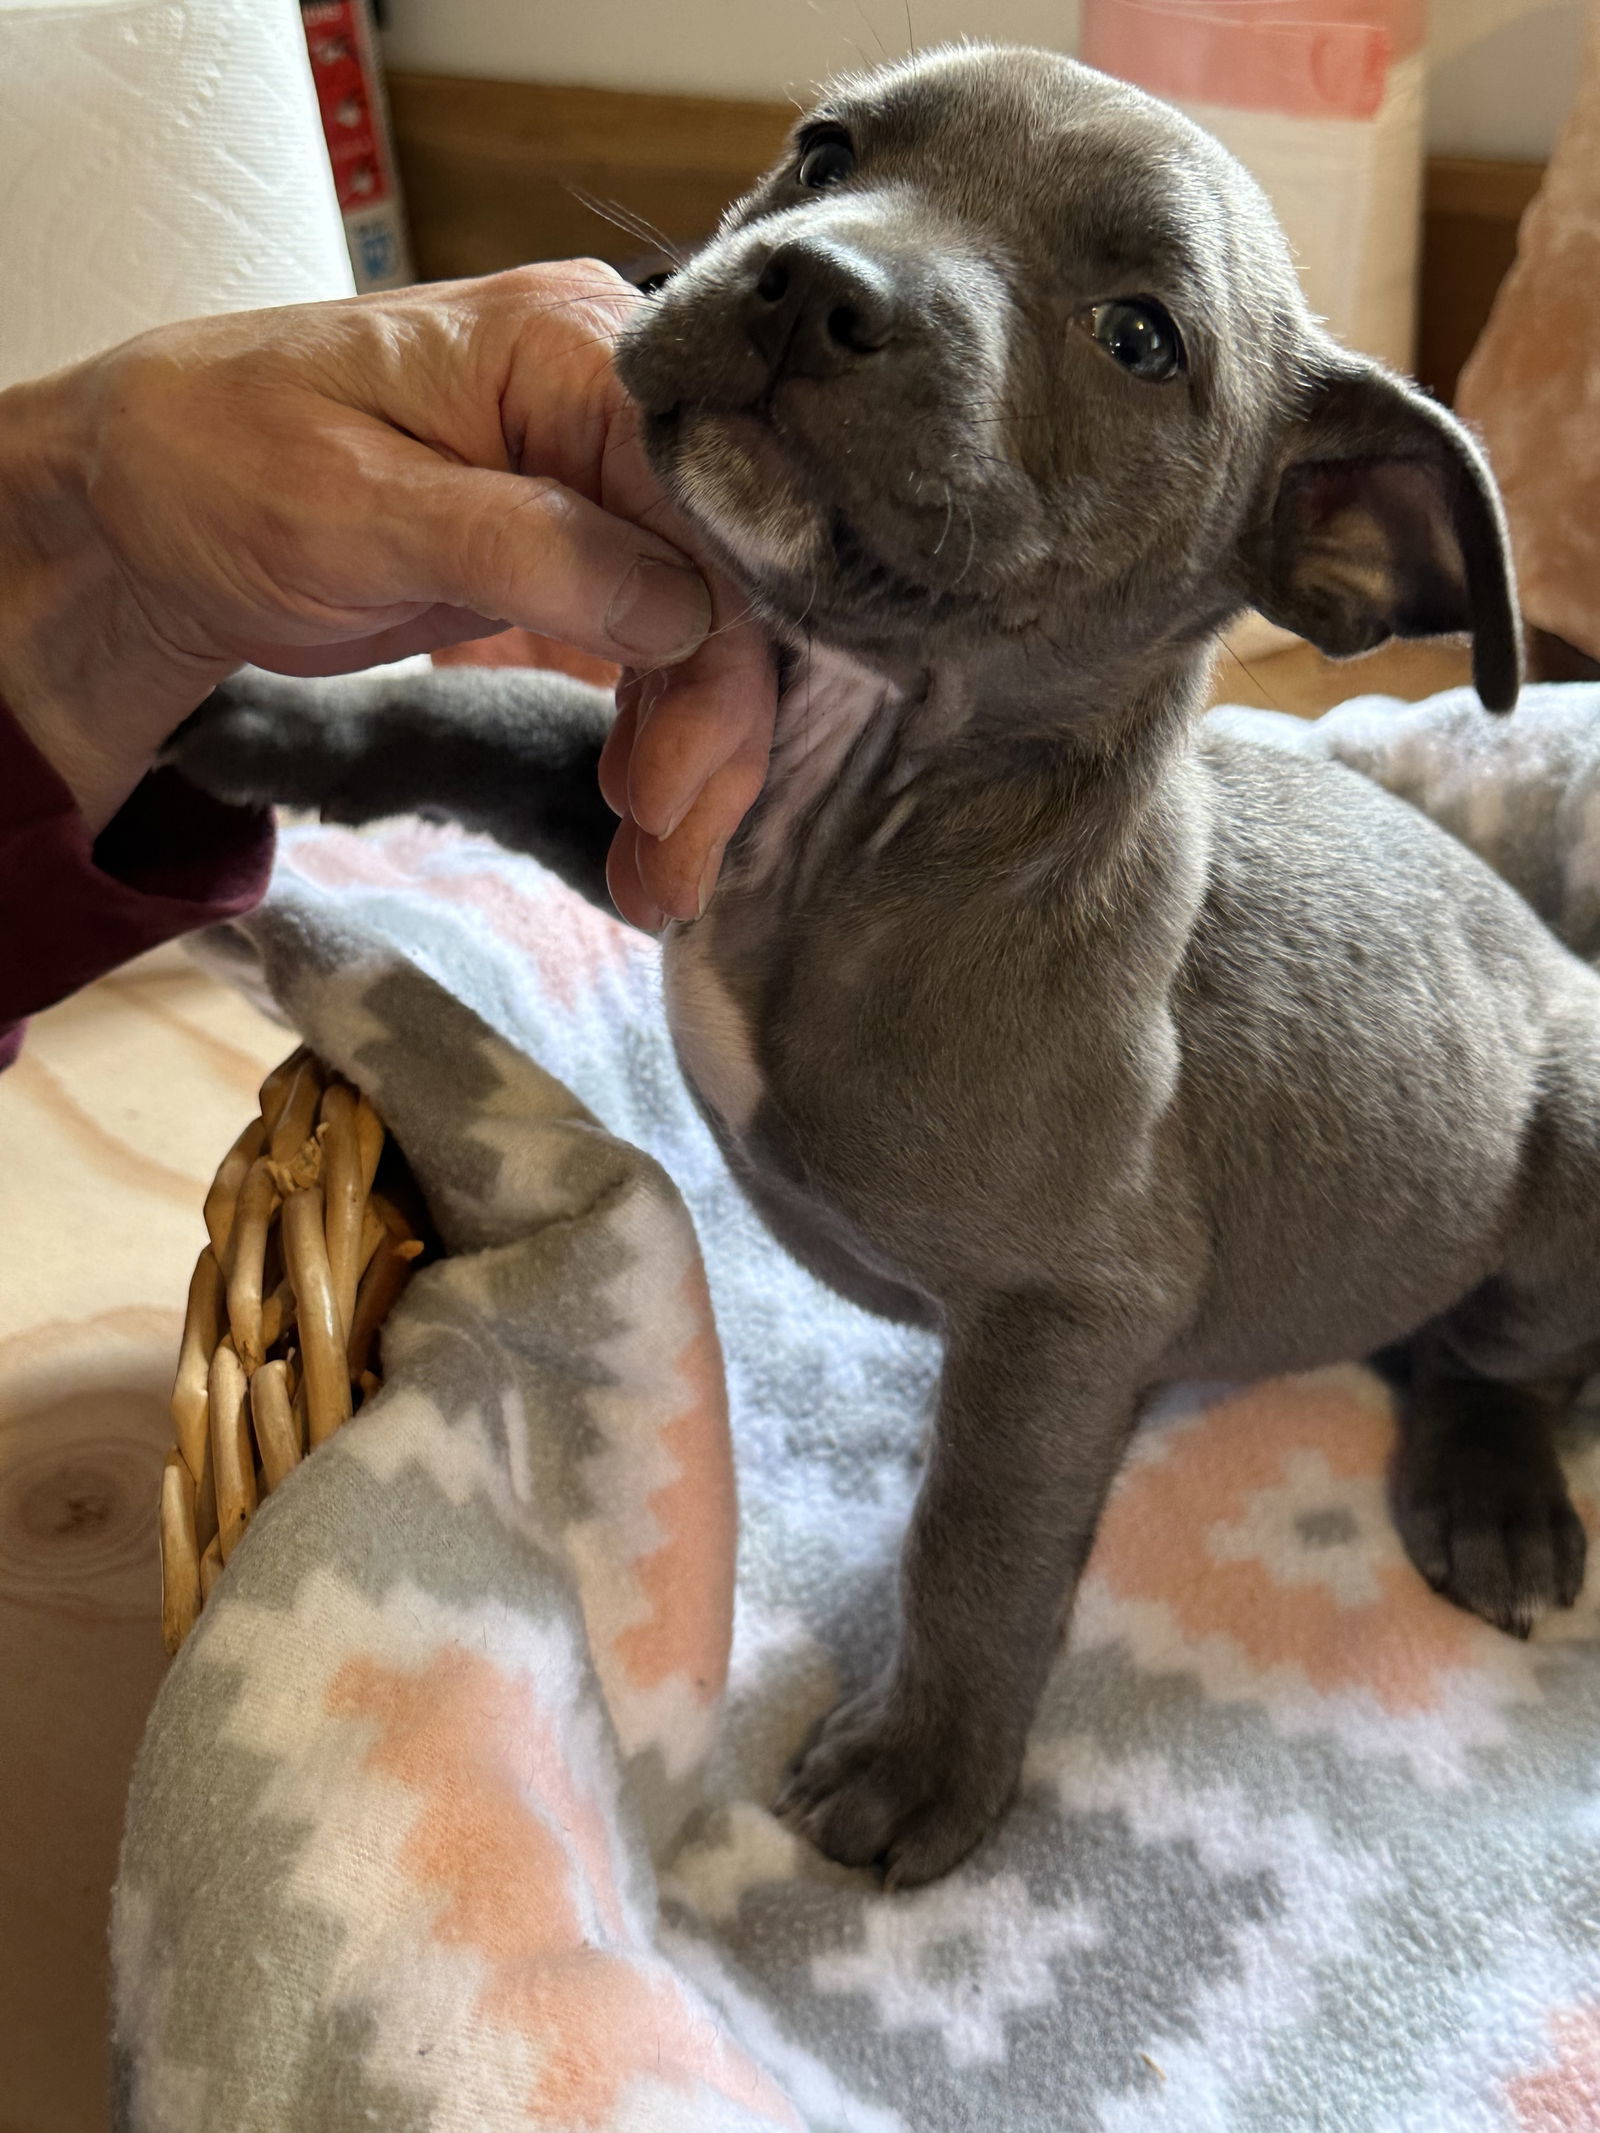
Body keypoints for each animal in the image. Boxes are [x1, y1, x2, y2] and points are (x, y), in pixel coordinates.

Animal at [174, 45, 1600, 1885]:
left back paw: (1494, 1492)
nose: (814, 282)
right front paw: (281, 721)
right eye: (824, 150)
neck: (867, 795)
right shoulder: (651, 822)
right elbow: (493, 710)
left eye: (1142, 336)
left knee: (1509, 1353)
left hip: (1572, 1147)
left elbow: (978, 1537)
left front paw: (926, 1762)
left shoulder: (1064, 1317)